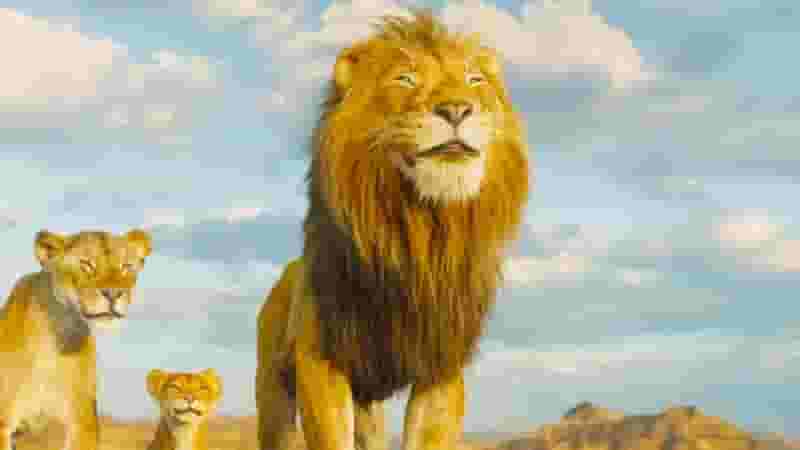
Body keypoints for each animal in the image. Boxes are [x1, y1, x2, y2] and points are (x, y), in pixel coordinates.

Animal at [255, 10, 530, 450]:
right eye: (405, 78)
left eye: (474, 80)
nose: (457, 109)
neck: (419, 231)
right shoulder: (322, 358)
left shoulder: (441, 365)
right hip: (273, 392)